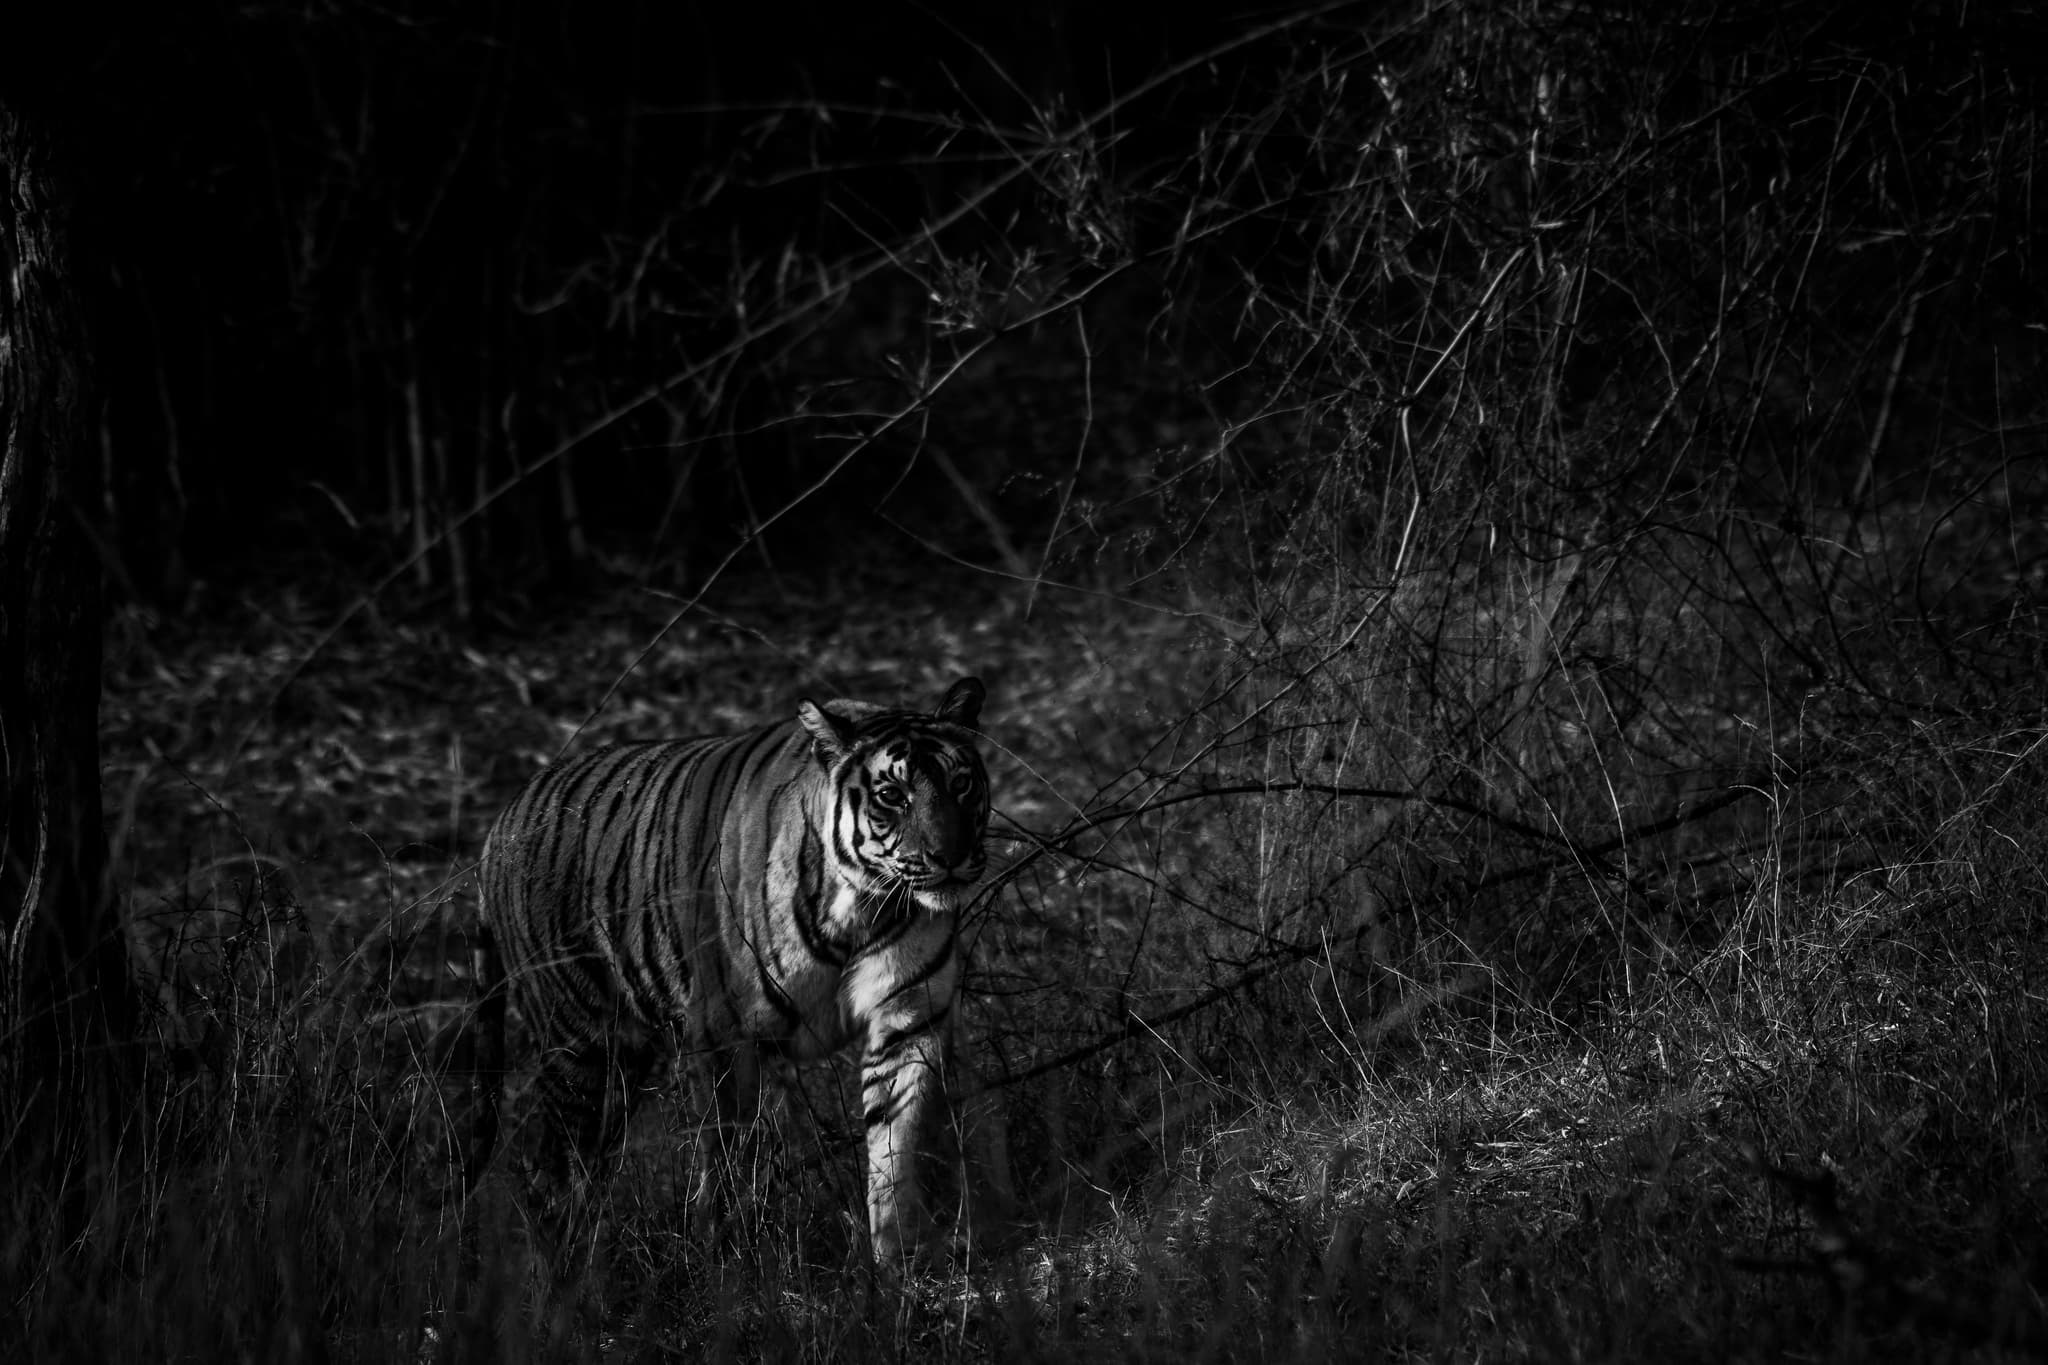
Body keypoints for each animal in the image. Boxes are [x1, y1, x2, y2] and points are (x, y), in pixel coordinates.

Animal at [469, 676, 991, 1267]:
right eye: (892, 796)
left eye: (962, 784)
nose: (950, 857)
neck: (864, 905)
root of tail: (501, 820)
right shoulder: (726, 1033)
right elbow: (727, 1159)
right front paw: (730, 1263)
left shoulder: (907, 1017)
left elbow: (897, 1144)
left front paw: (902, 1254)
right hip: (579, 1044)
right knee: (546, 1171)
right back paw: (556, 1271)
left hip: (624, 1066)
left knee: (583, 1170)